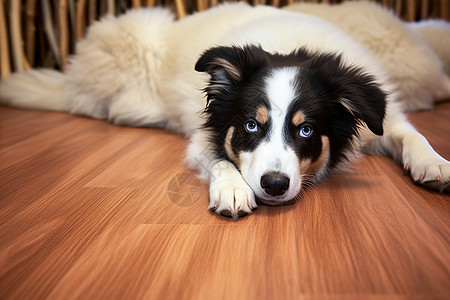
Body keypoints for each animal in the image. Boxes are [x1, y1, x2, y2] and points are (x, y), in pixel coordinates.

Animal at [0, 3, 448, 219]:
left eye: (306, 131)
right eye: (250, 125)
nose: (273, 186)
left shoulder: (382, 113)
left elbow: (411, 132)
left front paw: (435, 164)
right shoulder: (205, 135)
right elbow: (220, 159)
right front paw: (233, 189)